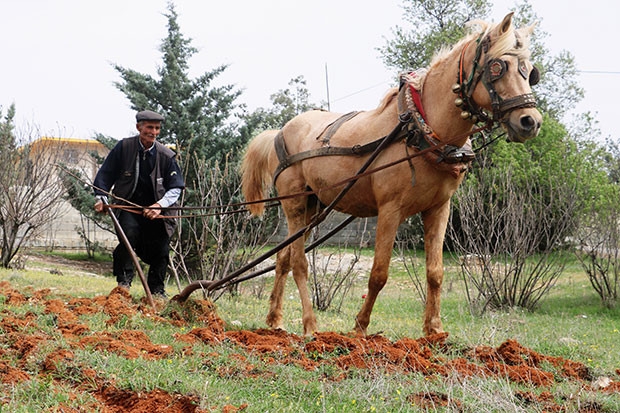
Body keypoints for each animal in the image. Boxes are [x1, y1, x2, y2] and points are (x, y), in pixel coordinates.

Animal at [240, 12, 540, 336]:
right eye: (498, 67)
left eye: (529, 72)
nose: (530, 121)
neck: (421, 129)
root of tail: (280, 131)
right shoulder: (390, 209)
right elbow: (379, 273)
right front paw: (360, 327)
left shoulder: (439, 208)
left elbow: (435, 272)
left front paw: (434, 329)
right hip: (294, 205)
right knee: (298, 263)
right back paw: (310, 325)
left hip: (313, 207)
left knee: (282, 258)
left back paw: (274, 320)